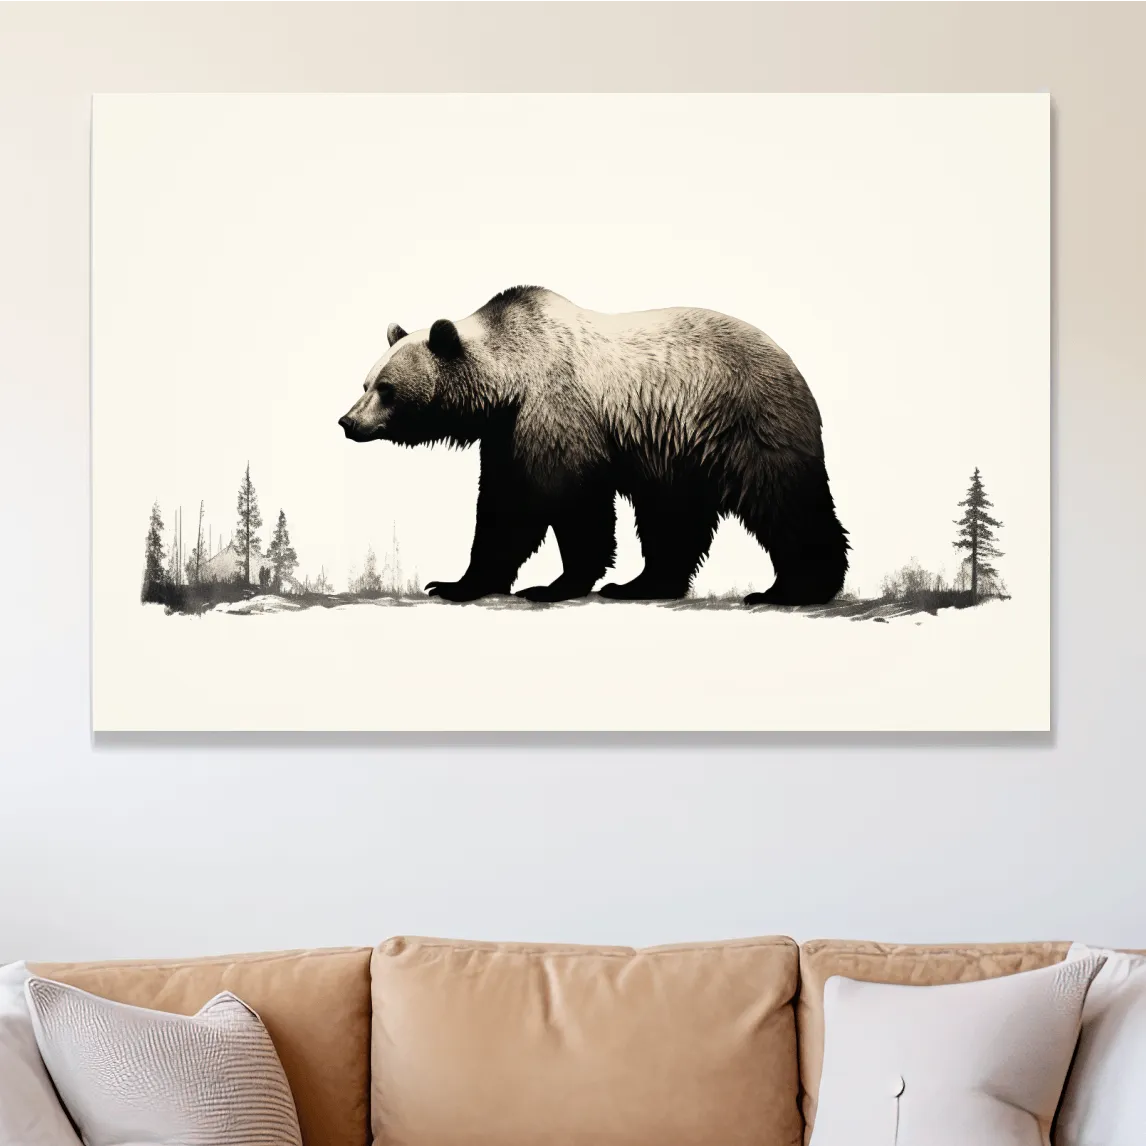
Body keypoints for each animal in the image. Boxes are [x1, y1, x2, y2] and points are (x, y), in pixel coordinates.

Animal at [339, 286, 848, 606]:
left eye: (386, 388)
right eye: (365, 383)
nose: (347, 421)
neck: (509, 383)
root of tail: (790, 362)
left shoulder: (555, 411)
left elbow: (571, 502)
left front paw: (554, 585)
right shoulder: (505, 433)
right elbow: (503, 510)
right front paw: (454, 583)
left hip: (743, 420)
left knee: (782, 499)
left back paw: (793, 588)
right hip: (677, 445)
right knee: (674, 516)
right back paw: (643, 584)